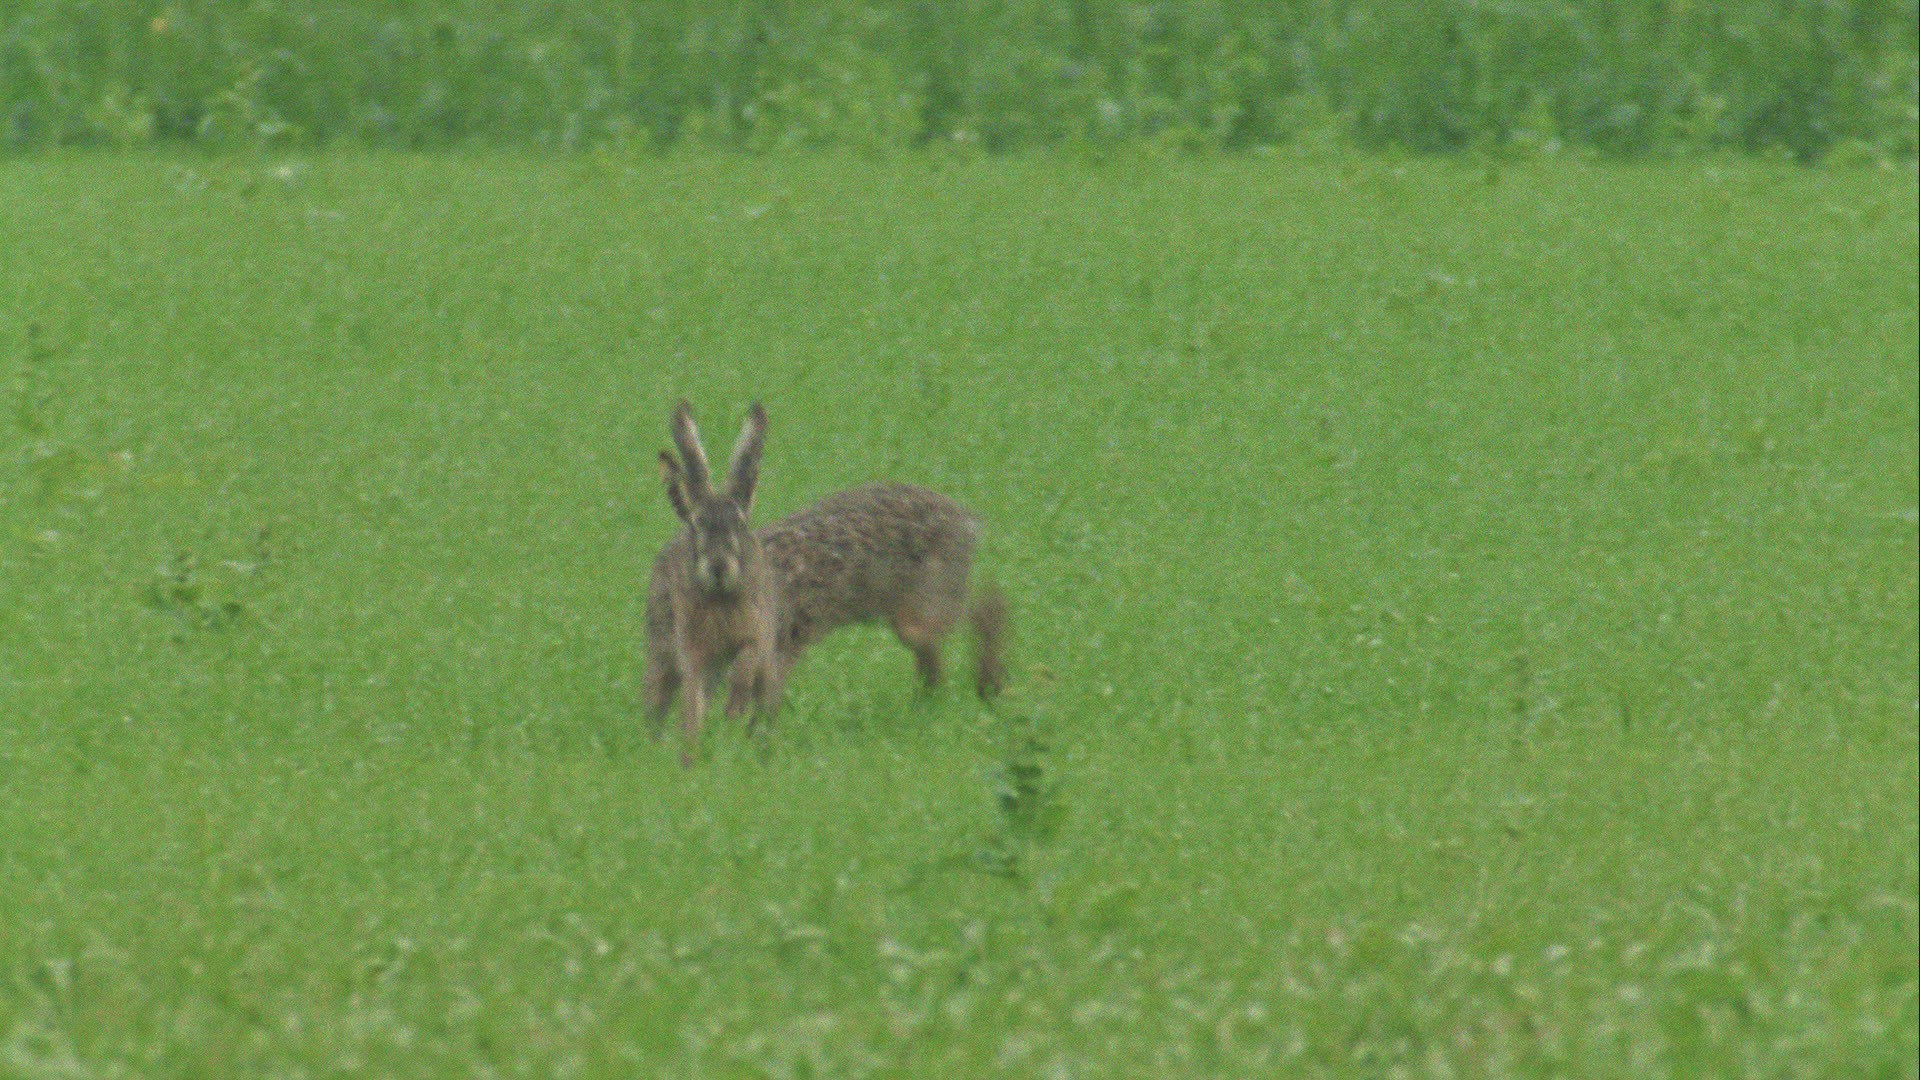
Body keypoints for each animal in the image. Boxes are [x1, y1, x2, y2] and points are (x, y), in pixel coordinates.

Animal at [644, 400, 783, 763]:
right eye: (698, 525)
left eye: (740, 525)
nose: (718, 568)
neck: (720, 598)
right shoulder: (692, 650)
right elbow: (693, 698)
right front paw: (692, 746)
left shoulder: (757, 634)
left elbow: (746, 662)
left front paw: (734, 708)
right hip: (661, 652)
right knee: (664, 697)